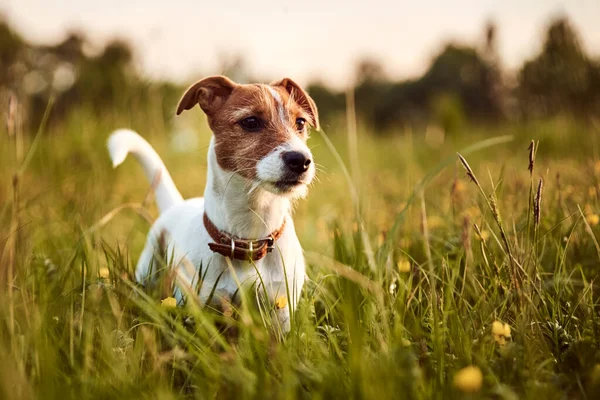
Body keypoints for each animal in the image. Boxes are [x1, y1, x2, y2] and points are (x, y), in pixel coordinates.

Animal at [107, 75, 318, 332]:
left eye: (301, 122)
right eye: (250, 121)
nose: (301, 160)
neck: (248, 239)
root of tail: (176, 204)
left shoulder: (281, 309)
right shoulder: (198, 307)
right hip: (148, 268)